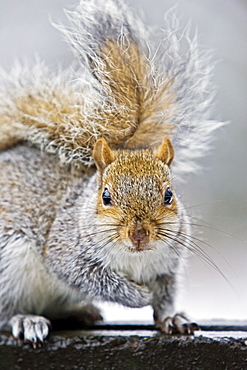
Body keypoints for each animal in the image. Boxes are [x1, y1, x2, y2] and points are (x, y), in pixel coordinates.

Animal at [0, 0, 222, 346]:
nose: (139, 234)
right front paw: (137, 295)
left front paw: (172, 317)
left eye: (169, 195)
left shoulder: (168, 265)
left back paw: (81, 312)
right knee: (6, 311)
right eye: (106, 197)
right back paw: (25, 319)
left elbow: (166, 295)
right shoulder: (66, 251)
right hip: (7, 268)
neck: (135, 257)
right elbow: (93, 279)